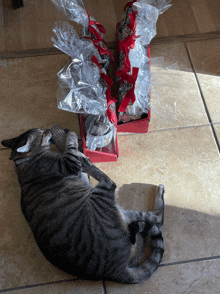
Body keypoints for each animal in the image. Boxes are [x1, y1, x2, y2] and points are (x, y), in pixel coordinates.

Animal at [0, 127, 164, 284]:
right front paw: (70, 135)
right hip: (99, 197)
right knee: (109, 182)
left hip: (123, 213)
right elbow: (71, 146)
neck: (23, 160)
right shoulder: (68, 162)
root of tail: (114, 273)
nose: (46, 129)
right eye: (41, 133)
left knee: (156, 220)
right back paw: (87, 162)